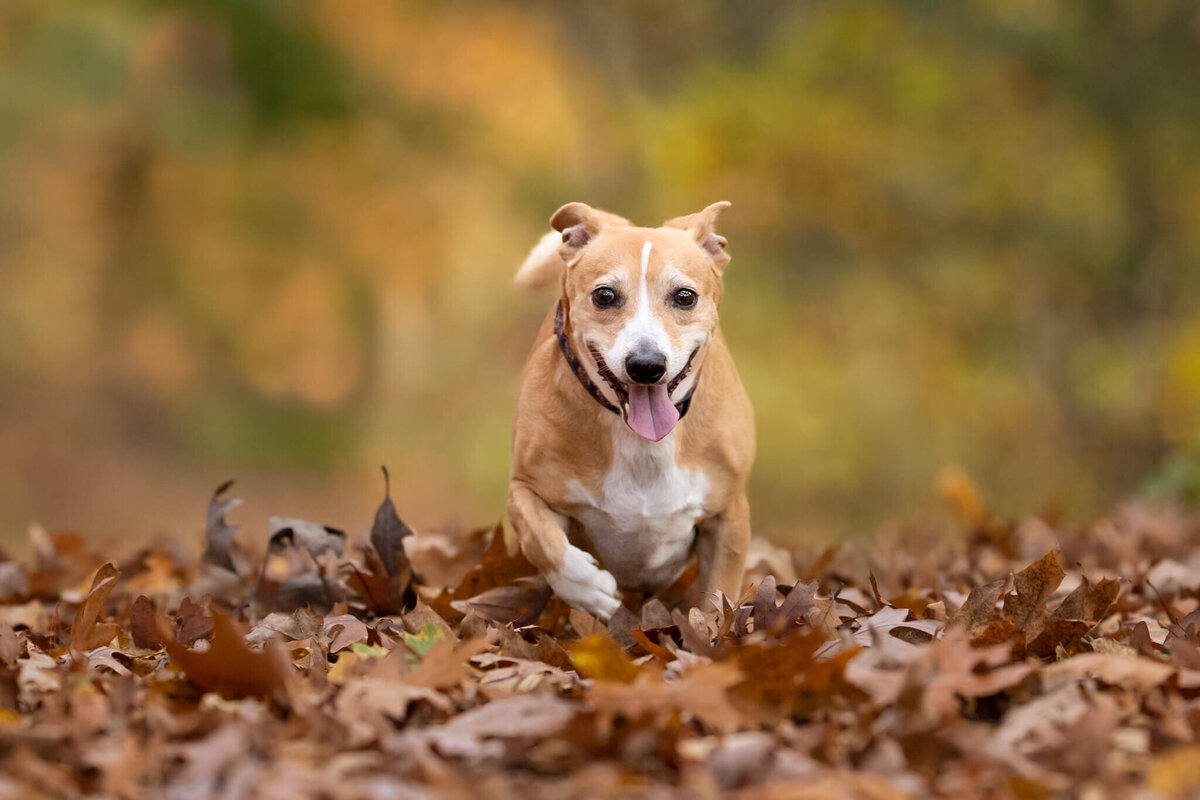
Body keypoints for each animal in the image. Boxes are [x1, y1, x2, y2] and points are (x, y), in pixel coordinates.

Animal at [508, 203, 753, 623]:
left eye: (684, 296)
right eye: (605, 295)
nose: (646, 365)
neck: (641, 440)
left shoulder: (729, 511)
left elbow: (718, 596)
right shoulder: (524, 487)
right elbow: (541, 538)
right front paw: (586, 587)